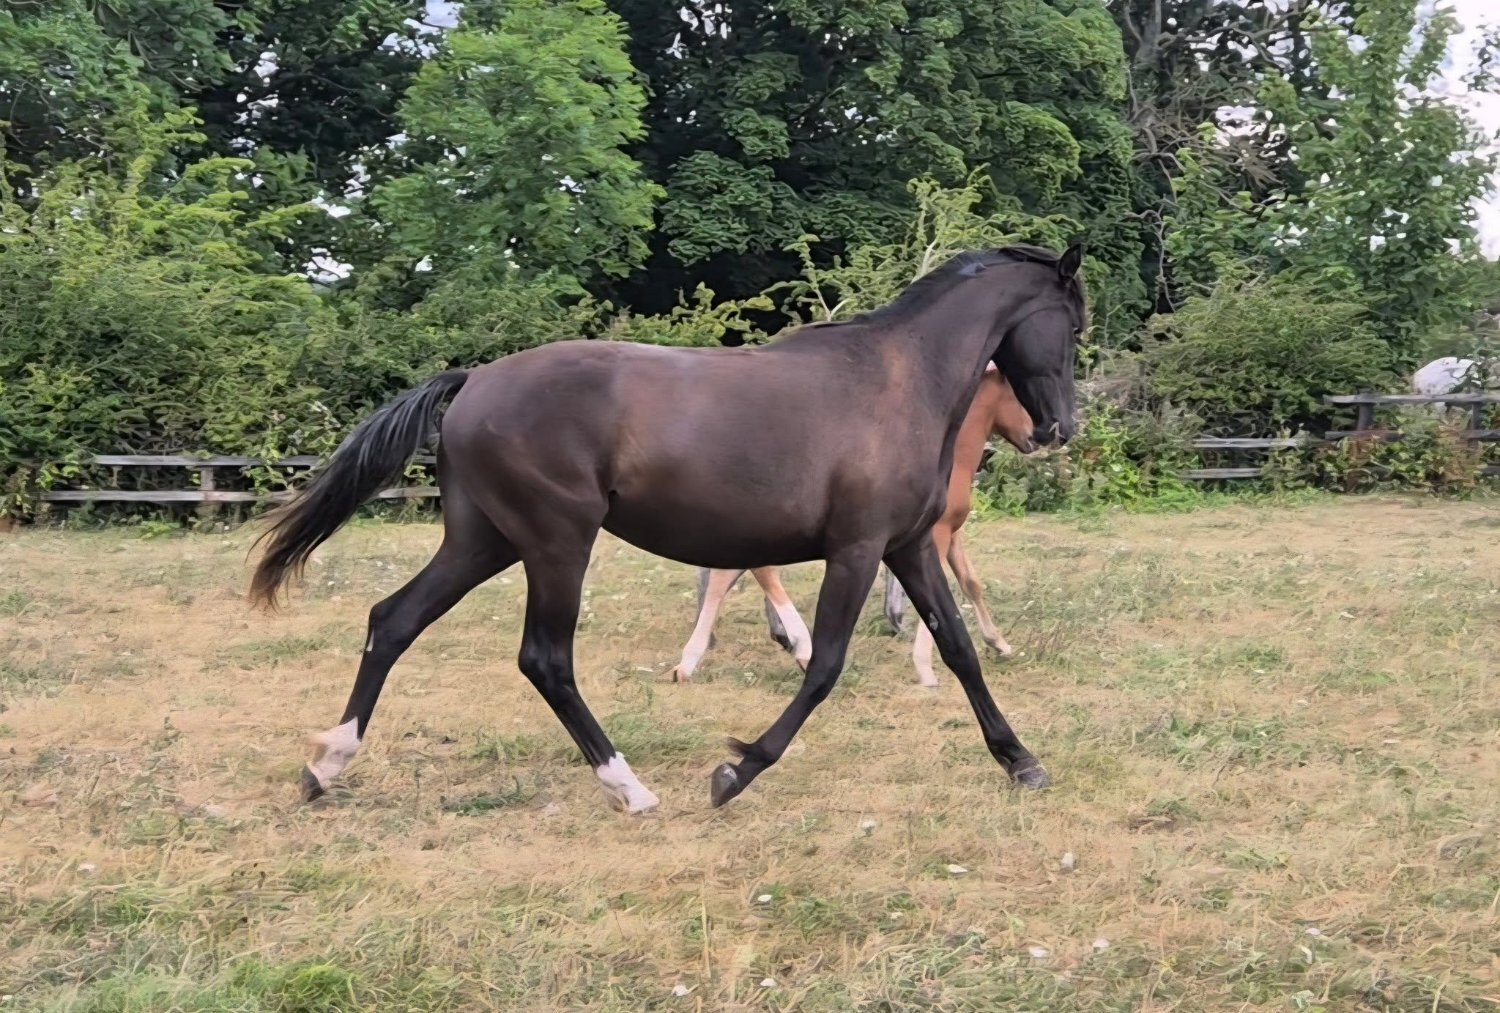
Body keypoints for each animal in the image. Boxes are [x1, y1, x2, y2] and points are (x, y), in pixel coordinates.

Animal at [672, 362, 1038, 687]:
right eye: (1018, 394)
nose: (1035, 437)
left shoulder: (948, 534)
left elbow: (970, 583)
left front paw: (999, 644)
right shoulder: (936, 535)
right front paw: (925, 666)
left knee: (728, 574)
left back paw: (696, 659)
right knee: (746, 573)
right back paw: (792, 646)